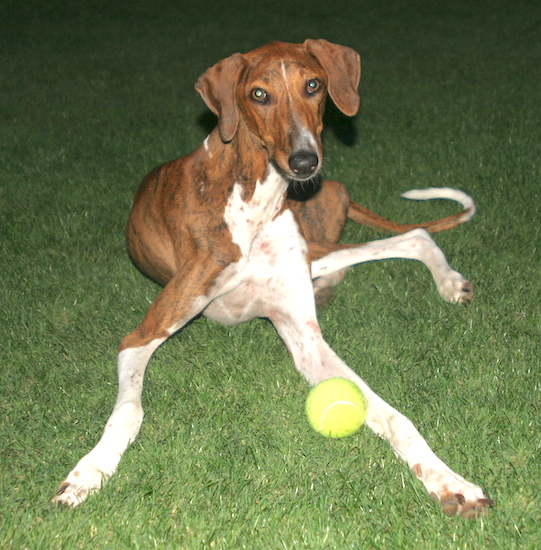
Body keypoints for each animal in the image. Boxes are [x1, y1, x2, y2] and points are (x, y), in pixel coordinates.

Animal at [52, 41, 492, 520]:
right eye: (259, 94)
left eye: (313, 85)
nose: (304, 161)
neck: (255, 201)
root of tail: (334, 188)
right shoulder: (141, 334)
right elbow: (129, 412)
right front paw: (90, 470)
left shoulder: (306, 339)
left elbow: (390, 412)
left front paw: (449, 481)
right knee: (411, 236)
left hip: (313, 246)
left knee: (415, 235)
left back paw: (447, 282)